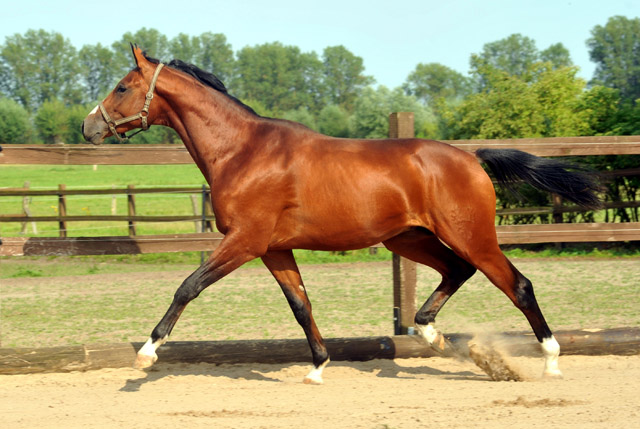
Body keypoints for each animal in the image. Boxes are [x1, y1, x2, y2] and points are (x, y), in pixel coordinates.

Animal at [81, 45, 600, 382]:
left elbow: (188, 286)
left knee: (517, 285)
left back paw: (551, 359)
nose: (88, 127)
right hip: (407, 238)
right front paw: (318, 366)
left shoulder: (244, 241)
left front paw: (146, 354)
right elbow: (300, 304)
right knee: (458, 270)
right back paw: (434, 336)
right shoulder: (273, 249)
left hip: (469, 234)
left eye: (122, 87)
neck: (243, 151)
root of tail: (471, 158)